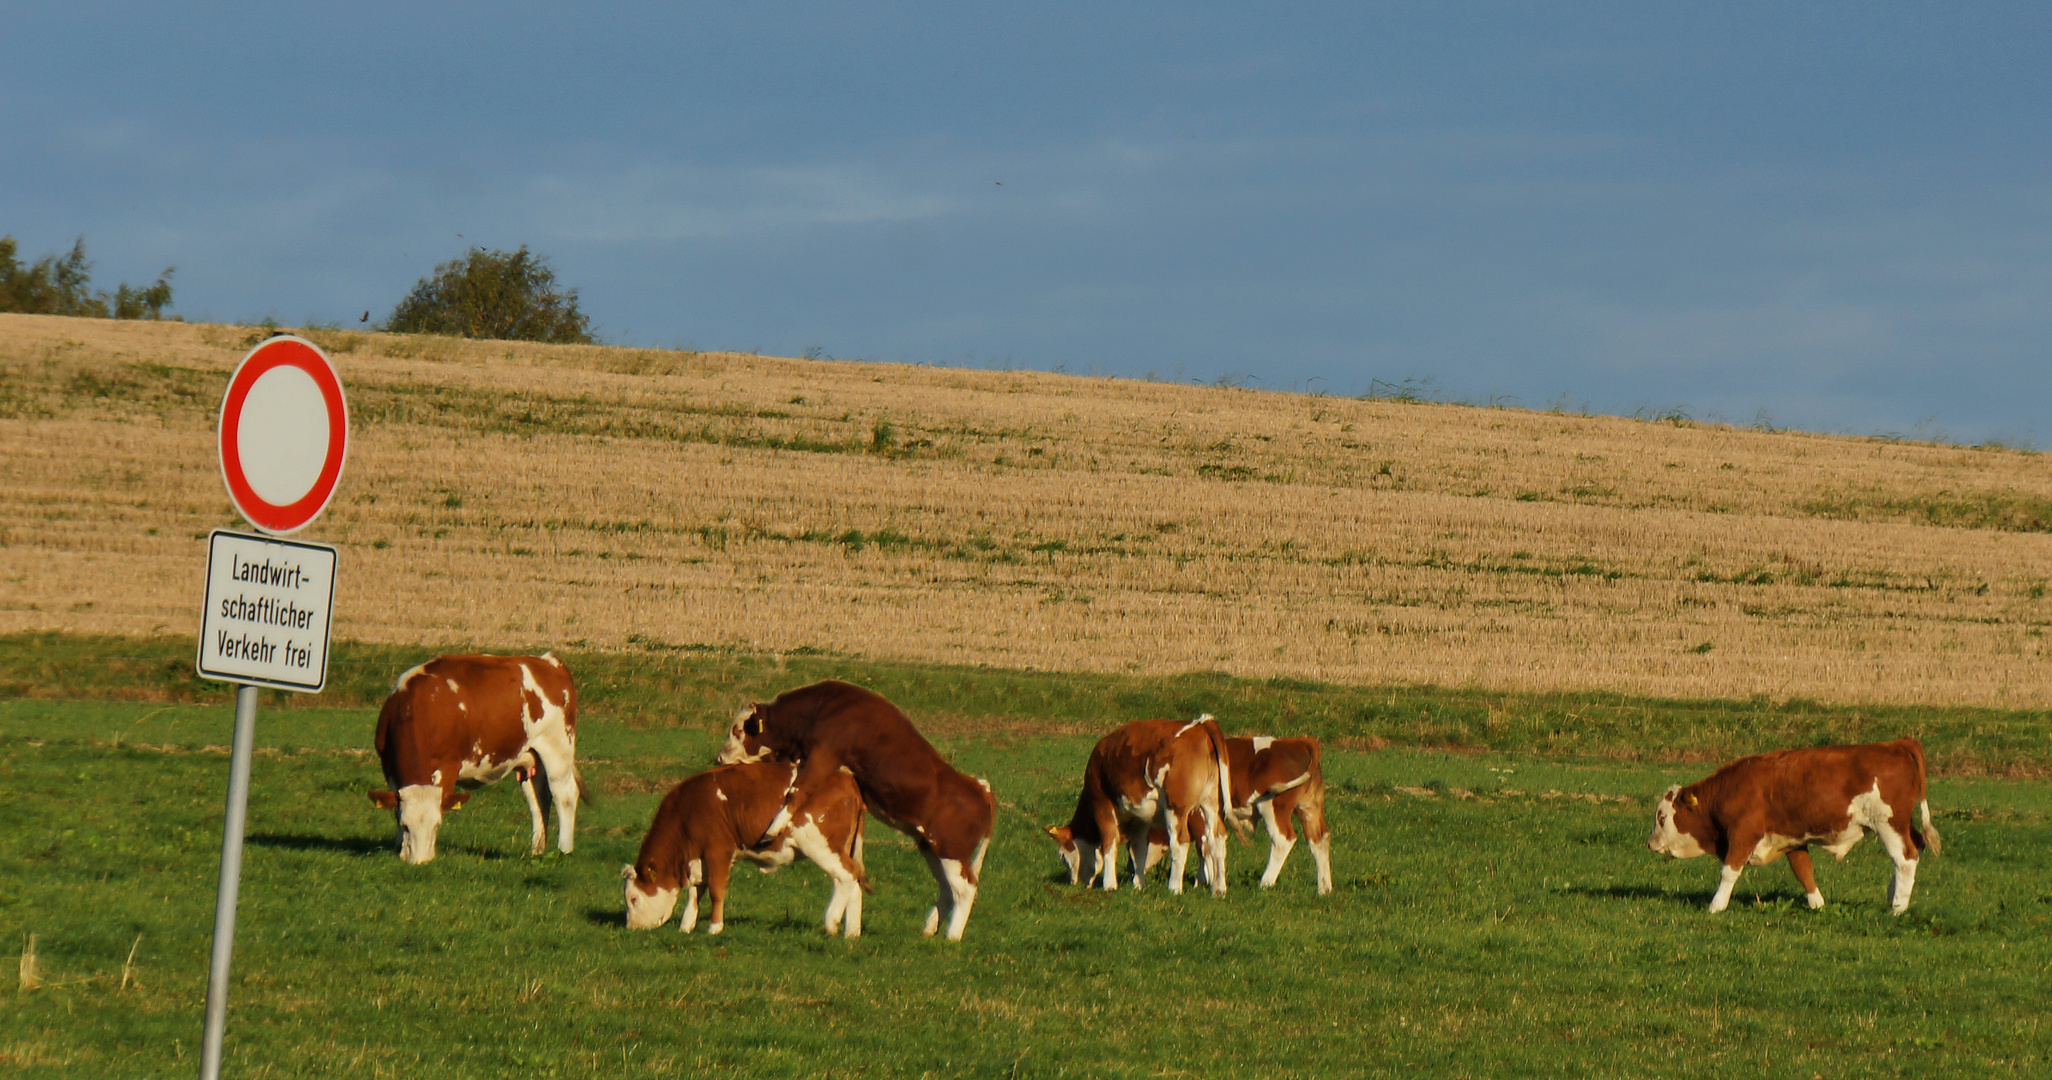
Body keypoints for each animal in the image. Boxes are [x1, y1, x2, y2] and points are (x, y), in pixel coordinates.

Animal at [365, 657, 578, 866]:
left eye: (437, 825)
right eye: (405, 825)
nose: (421, 861)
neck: (416, 705)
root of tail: (548, 661)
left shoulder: (449, 764)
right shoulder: (388, 765)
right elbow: (395, 807)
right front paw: (399, 848)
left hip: (558, 749)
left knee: (565, 796)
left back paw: (564, 850)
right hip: (530, 760)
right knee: (539, 800)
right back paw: (536, 851)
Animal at [619, 763, 870, 940]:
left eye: (633, 898)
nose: (631, 928)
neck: (689, 808)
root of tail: (847, 779)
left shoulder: (718, 850)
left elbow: (716, 890)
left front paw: (714, 927)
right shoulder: (699, 859)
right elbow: (695, 892)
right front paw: (686, 926)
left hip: (819, 844)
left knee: (846, 875)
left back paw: (831, 923)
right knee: (855, 879)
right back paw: (852, 932)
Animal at [718, 685, 997, 940]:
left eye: (738, 730)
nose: (719, 757)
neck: (824, 706)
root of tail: (980, 788)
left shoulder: (824, 756)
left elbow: (796, 792)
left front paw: (773, 829)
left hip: (952, 852)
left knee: (966, 889)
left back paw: (952, 936)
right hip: (931, 848)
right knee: (948, 890)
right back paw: (930, 928)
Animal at [1042, 718, 1231, 899]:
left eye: (1062, 856)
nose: (1073, 882)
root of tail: (1200, 724)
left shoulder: (1102, 804)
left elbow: (1109, 843)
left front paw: (1109, 885)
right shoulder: (1140, 817)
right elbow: (1138, 849)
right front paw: (1139, 885)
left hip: (1176, 807)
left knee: (1180, 842)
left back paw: (1174, 888)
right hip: (1211, 804)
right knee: (1217, 839)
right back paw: (1218, 889)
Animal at [1641, 735, 1945, 915]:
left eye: (1662, 817)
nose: (1650, 843)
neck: (1732, 789)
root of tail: (1894, 744)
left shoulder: (1743, 833)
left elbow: (1728, 872)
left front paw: (1716, 906)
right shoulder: (1791, 839)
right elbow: (1803, 872)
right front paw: (1817, 904)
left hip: (1888, 823)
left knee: (1905, 858)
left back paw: (1898, 907)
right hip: (1902, 823)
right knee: (1914, 848)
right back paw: (1893, 897)